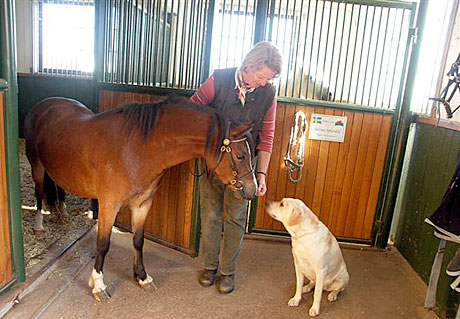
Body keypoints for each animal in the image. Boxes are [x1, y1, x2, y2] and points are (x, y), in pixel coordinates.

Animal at [23, 95, 256, 302]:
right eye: (240, 156)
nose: (252, 190)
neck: (136, 148)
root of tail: (44, 104)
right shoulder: (109, 205)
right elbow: (103, 244)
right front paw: (98, 285)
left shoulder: (142, 204)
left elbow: (138, 240)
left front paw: (142, 277)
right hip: (36, 165)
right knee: (39, 193)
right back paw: (39, 226)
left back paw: (61, 213)